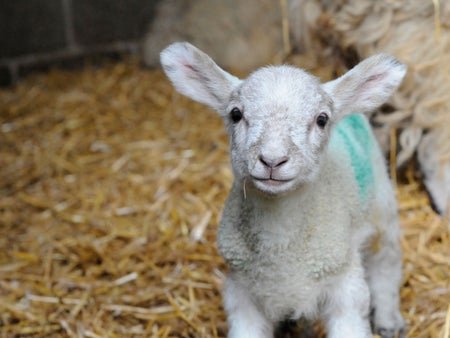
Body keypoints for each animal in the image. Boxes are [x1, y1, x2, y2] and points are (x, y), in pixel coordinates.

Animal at [161, 42, 408, 338]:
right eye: (235, 114)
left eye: (322, 119)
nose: (272, 160)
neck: (280, 248)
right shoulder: (241, 293)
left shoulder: (345, 286)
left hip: (382, 201)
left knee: (387, 262)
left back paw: (389, 319)